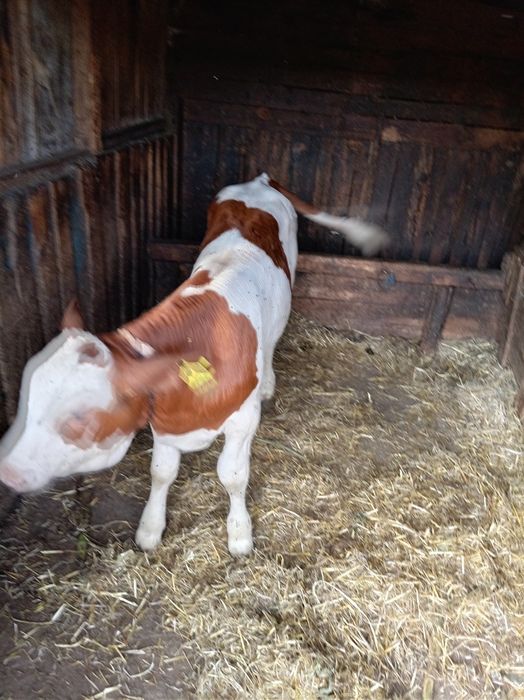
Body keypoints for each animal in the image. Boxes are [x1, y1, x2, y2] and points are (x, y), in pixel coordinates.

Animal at [0, 174, 387, 555]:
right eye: (25, 397)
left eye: (79, 419)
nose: (6, 472)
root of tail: (260, 181)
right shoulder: (163, 423)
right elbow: (161, 472)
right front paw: (150, 527)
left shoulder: (244, 421)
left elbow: (232, 475)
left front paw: (239, 533)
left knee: (274, 338)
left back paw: (267, 381)